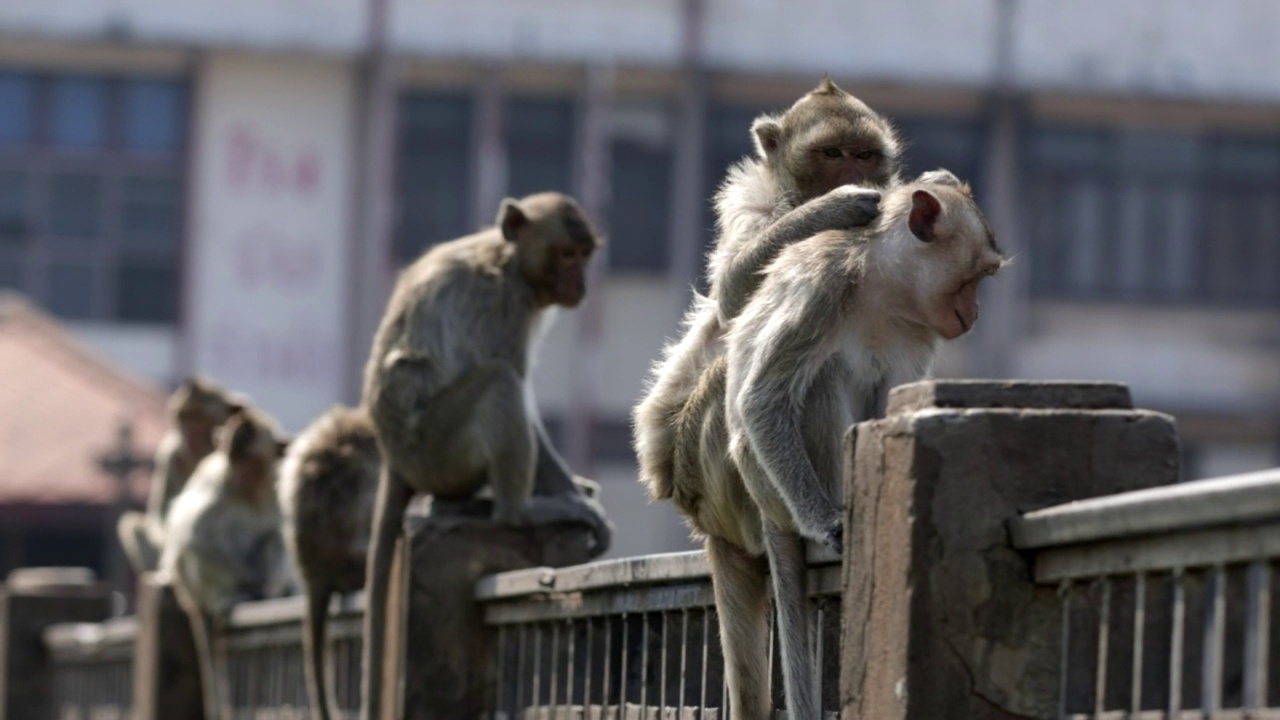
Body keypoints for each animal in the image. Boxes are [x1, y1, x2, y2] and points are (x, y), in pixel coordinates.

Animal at [115, 376, 240, 571]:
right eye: (185, 419)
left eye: (199, 420)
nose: (189, 436)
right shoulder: (169, 455)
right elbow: (161, 514)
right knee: (135, 527)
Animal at [358, 189, 611, 717]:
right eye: (566, 255)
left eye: (584, 255)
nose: (580, 283)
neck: (508, 259)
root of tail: (393, 457)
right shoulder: (505, 309)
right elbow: (518, 386)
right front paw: (577, 502)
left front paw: (579, 489)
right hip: (436, 448)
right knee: (498, 382)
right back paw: (521, 511)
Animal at [632, 74, 901, 509]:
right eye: (831, 153)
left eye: (863, 155)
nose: (850, 174)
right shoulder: (750, 199)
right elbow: (731, 295)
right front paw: (831, 208)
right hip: (696, 463)